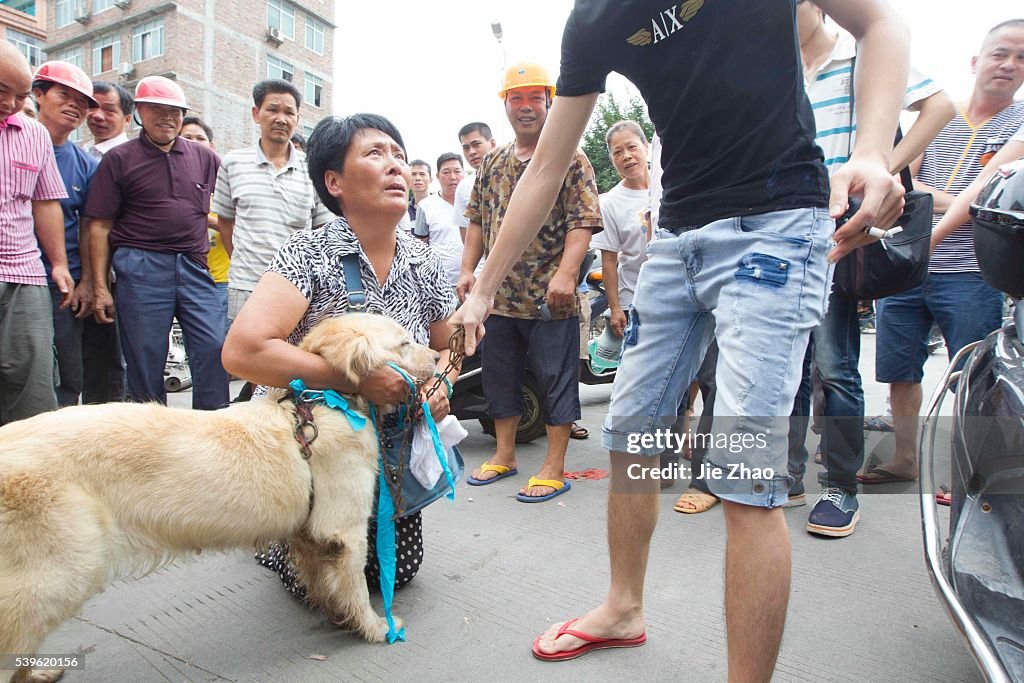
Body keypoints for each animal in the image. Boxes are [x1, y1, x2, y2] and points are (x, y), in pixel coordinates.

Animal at [0, 313, 436, 683]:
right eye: (403, 342)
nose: (436, 355)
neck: (323, 401)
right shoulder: (345, 529)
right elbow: (356, 584)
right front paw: (378, 627)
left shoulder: (310, 535)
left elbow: (322, 580)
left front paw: (337, 614)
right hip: (55, 574)